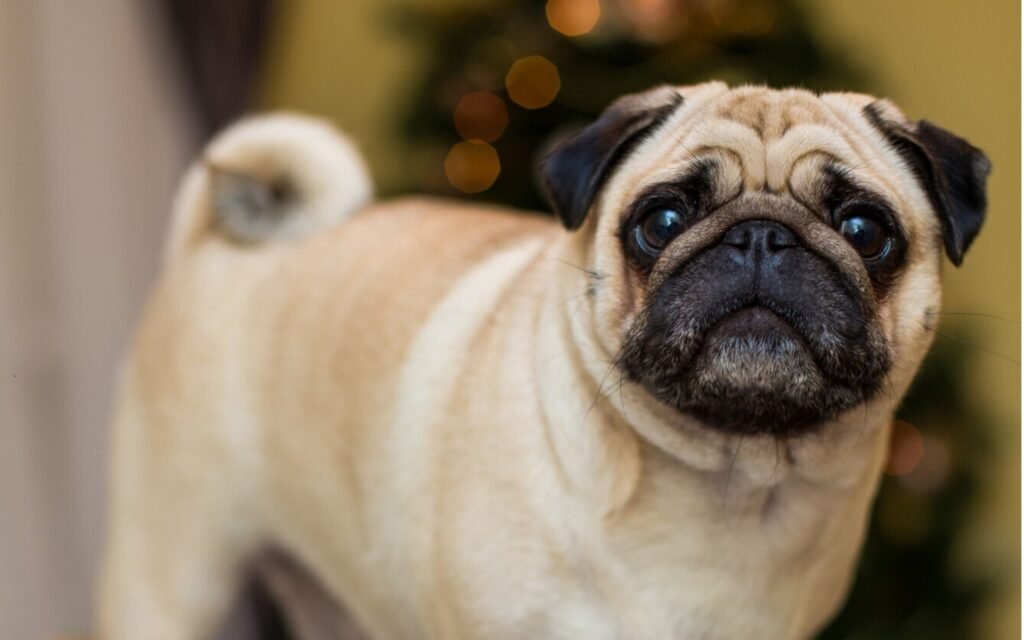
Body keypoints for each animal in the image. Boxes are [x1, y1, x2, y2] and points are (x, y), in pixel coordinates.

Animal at [99, 82, 987, 634]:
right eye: (662, 221)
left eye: (865, 230)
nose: (760, 237)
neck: (730, 479)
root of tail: (208, 246)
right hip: (168, 577)